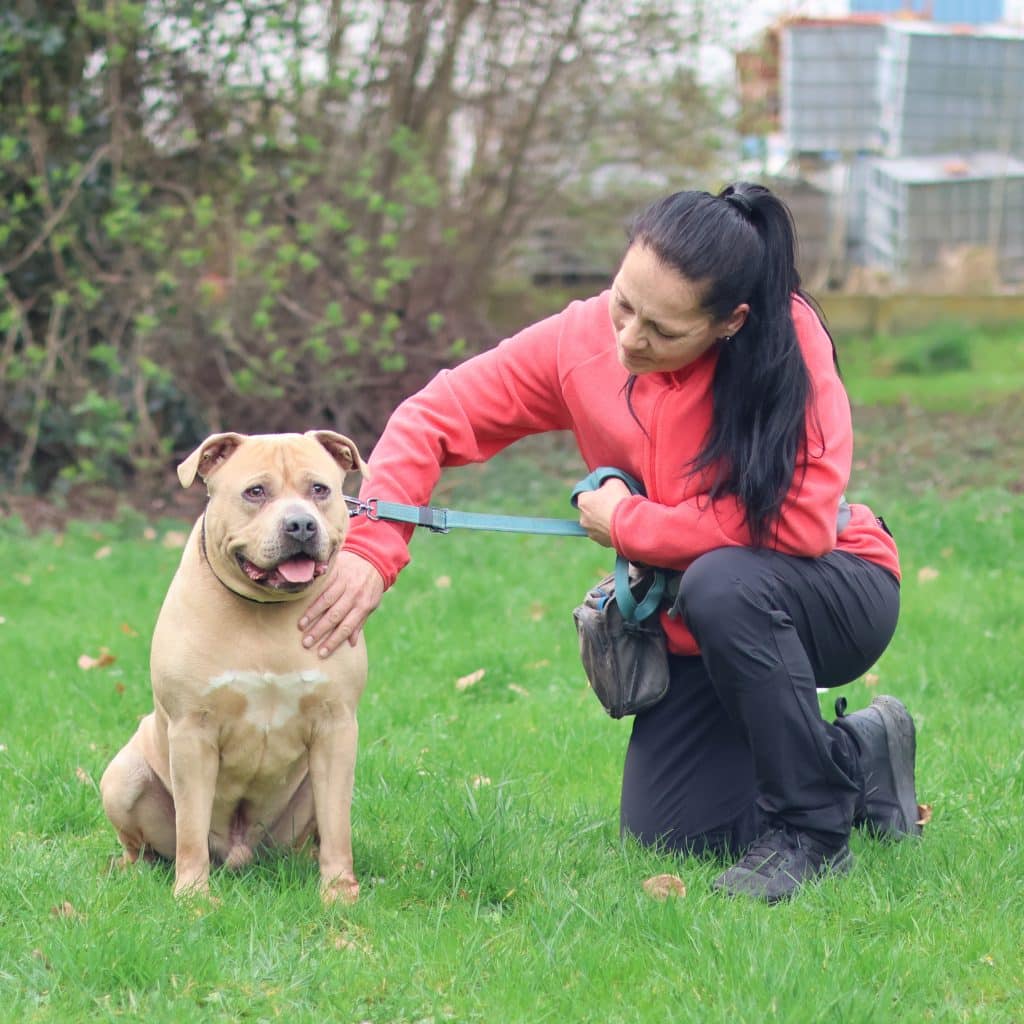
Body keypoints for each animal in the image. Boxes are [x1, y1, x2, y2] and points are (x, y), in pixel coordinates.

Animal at [100, 430, 369, 903]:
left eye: (319, 489)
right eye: (255, 492)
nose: (301, 525)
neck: (265, 611)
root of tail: (240, 854)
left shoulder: (336, 728)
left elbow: (338, 825)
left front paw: (338, 891)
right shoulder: (193, 731)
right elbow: (190, 827)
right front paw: (192, 896)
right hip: (122, 777)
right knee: (144, 845)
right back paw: (136, 871)